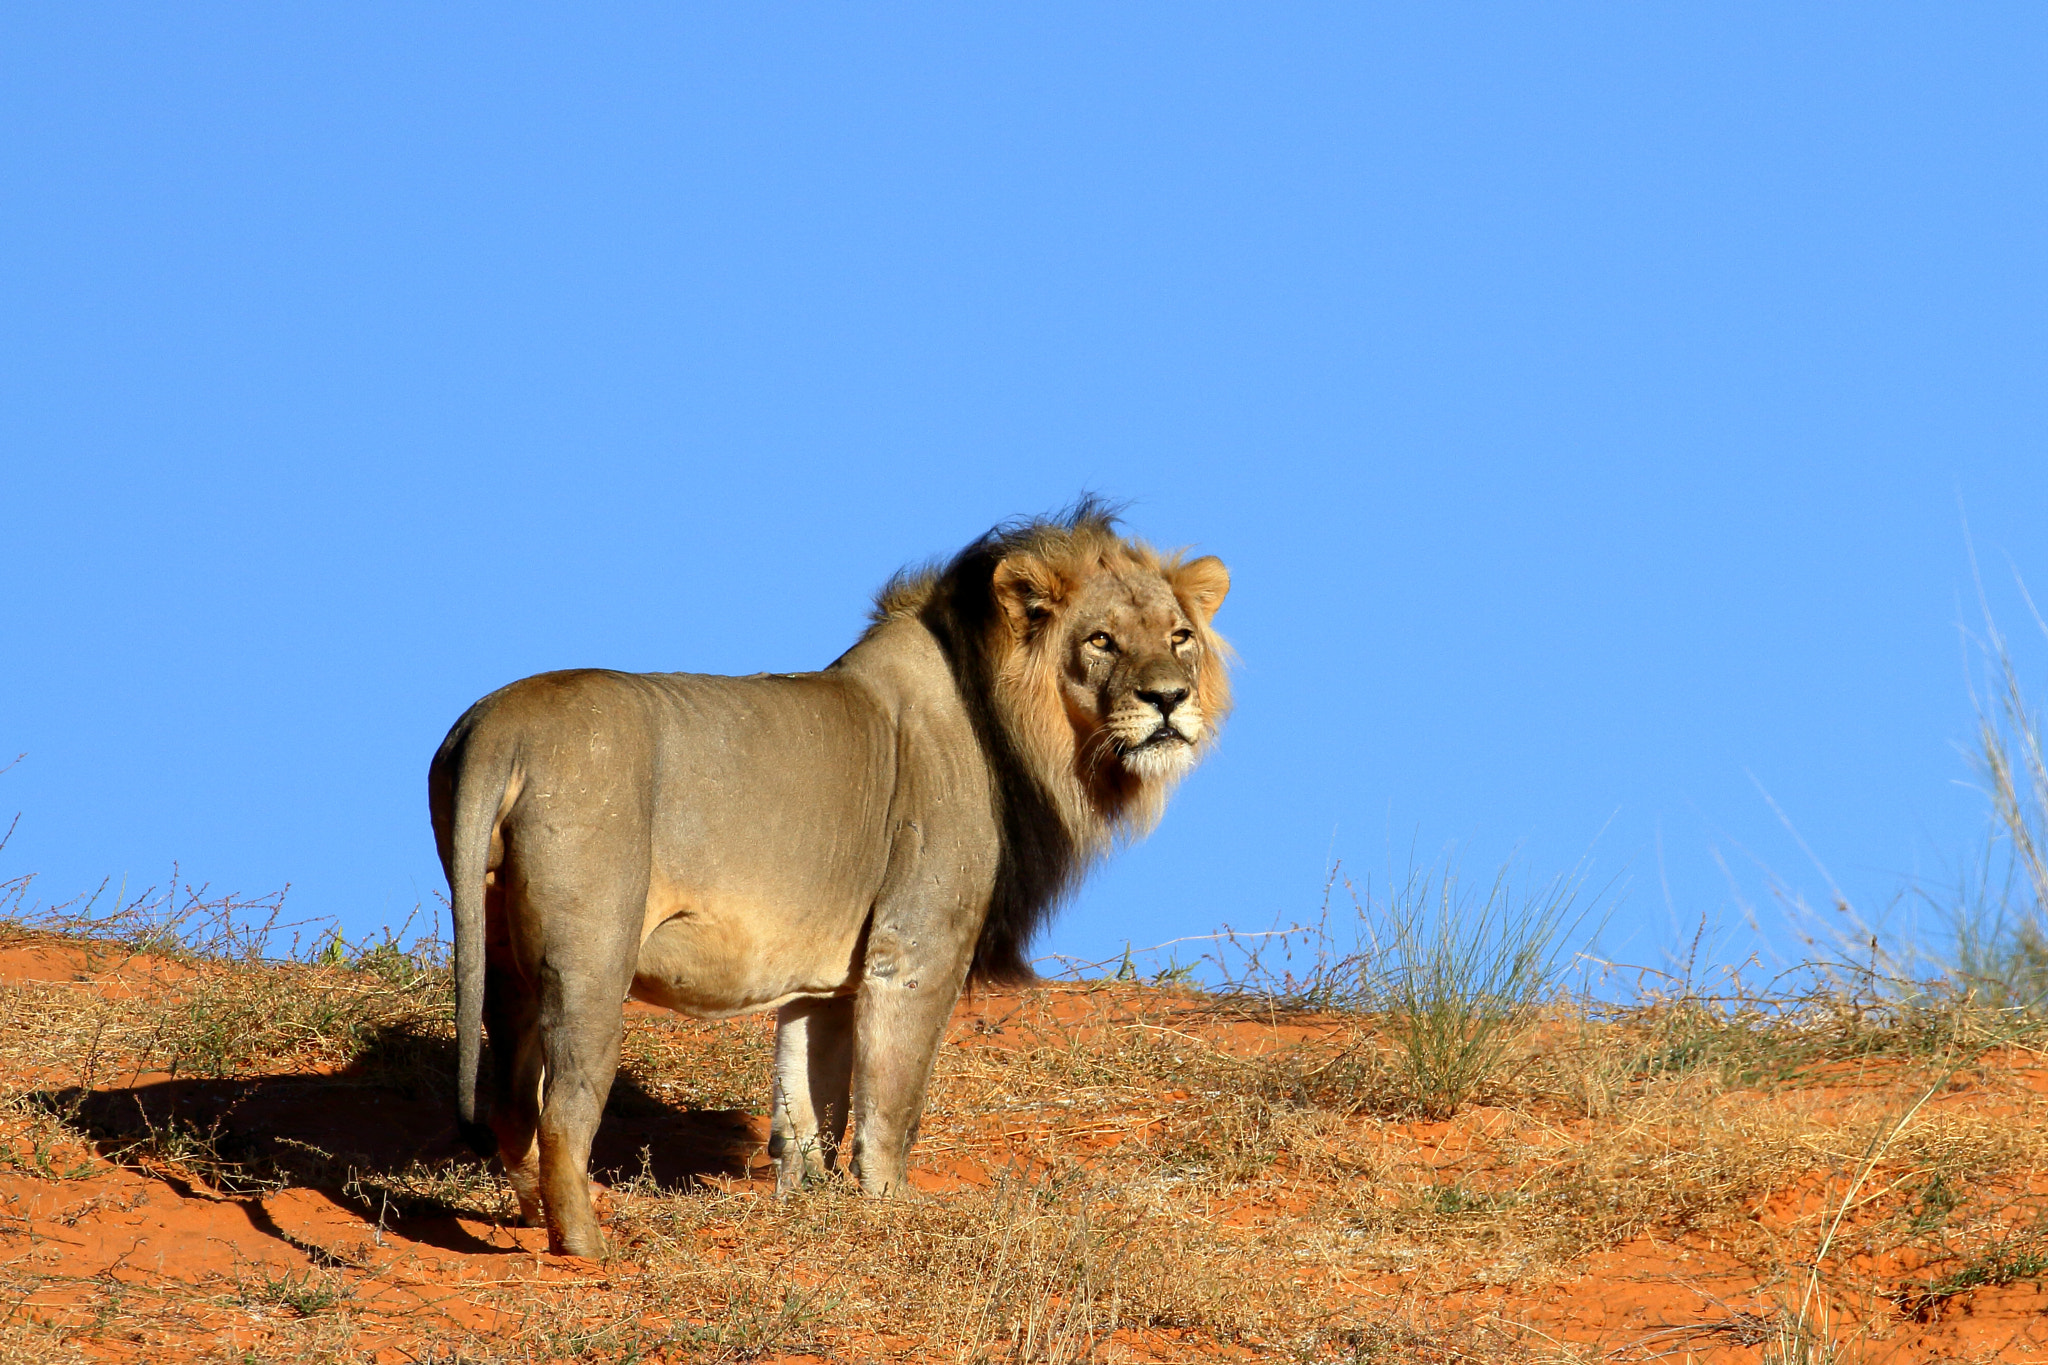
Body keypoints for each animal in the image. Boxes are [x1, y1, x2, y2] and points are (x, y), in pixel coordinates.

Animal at [428, 497, 1228, 1252]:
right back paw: (589, 1247)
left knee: (511, 1100)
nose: (1169, 698)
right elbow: (890, 1101)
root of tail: (499, 728)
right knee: (563, 1107)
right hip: (592, 954)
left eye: (1178, 637)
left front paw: (806, 1202)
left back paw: (533, 1221)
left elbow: (808, 1101)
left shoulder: (824, 980)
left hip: (502, 949)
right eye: (1101, 639)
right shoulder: (915, 950)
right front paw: (890, 1207)